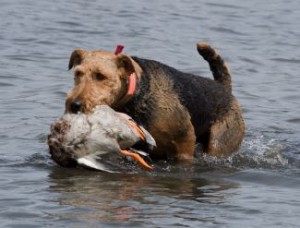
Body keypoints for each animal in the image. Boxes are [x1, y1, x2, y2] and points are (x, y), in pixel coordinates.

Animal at [64, 41, 245, 161]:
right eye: (78, 73)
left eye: (100, 76)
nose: (74, 105)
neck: (137, 91)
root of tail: (224, 88)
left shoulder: (185, 138)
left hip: (219, 144)